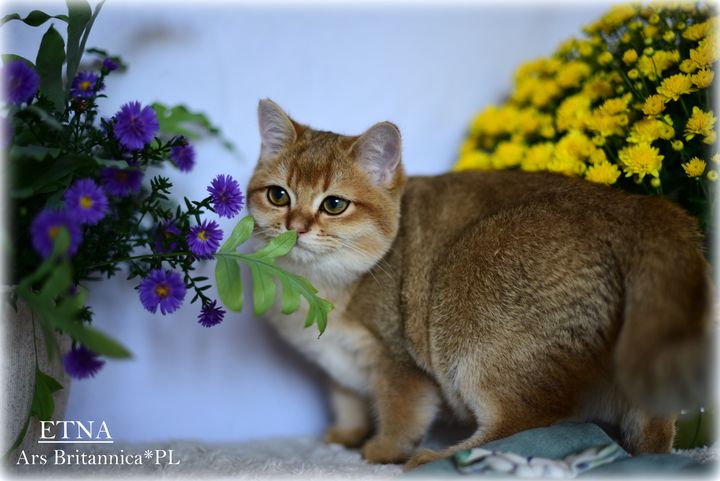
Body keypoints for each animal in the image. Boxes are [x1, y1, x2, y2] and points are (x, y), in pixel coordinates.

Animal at [246, 99, 712, 468]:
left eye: (334, 204)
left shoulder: (400, 364)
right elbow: (346, 400)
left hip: (470, 289)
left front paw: (380, 451)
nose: (296, 227)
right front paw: (345, 435)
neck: (319, 288)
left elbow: (400, 413)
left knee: (532, 423)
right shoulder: (338, 368)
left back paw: (437, 457)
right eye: (278, 195)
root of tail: (639, 207)